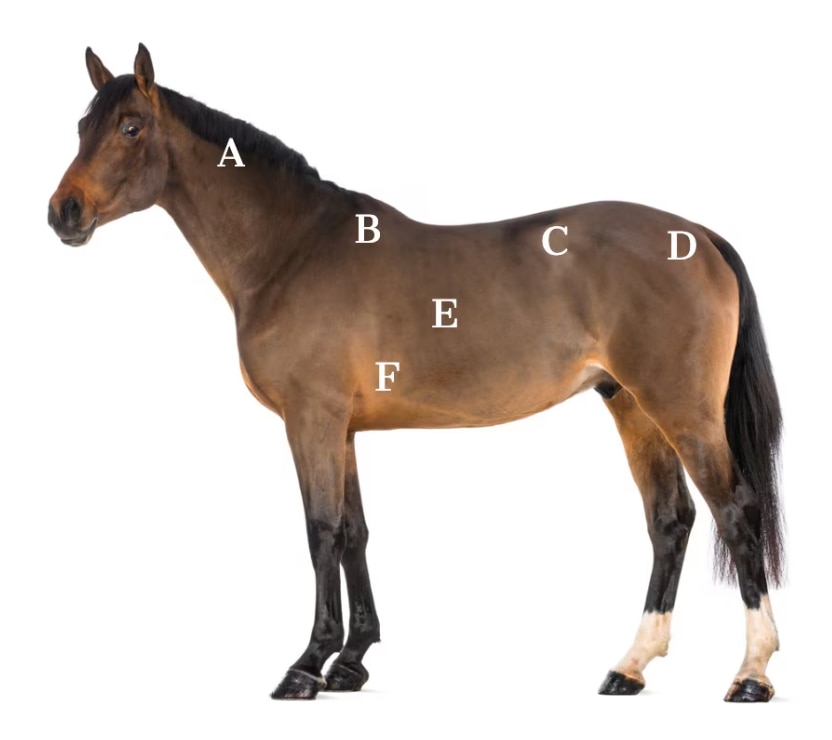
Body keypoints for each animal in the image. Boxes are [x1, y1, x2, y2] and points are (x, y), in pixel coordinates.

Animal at [48, 44, 784, 702]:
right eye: (83, 127)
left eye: (131, 127)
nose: (64, 212)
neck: (293, 250)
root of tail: (698, 235)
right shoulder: (342, 428)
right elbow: (354, 533)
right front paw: (350, 663)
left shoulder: (311, 421)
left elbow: (320, 531)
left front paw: (306, 666)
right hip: (630, 404)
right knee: (670, 521)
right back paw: (628, 668)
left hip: (682, 412)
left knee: (735, 511)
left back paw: (750, 674)